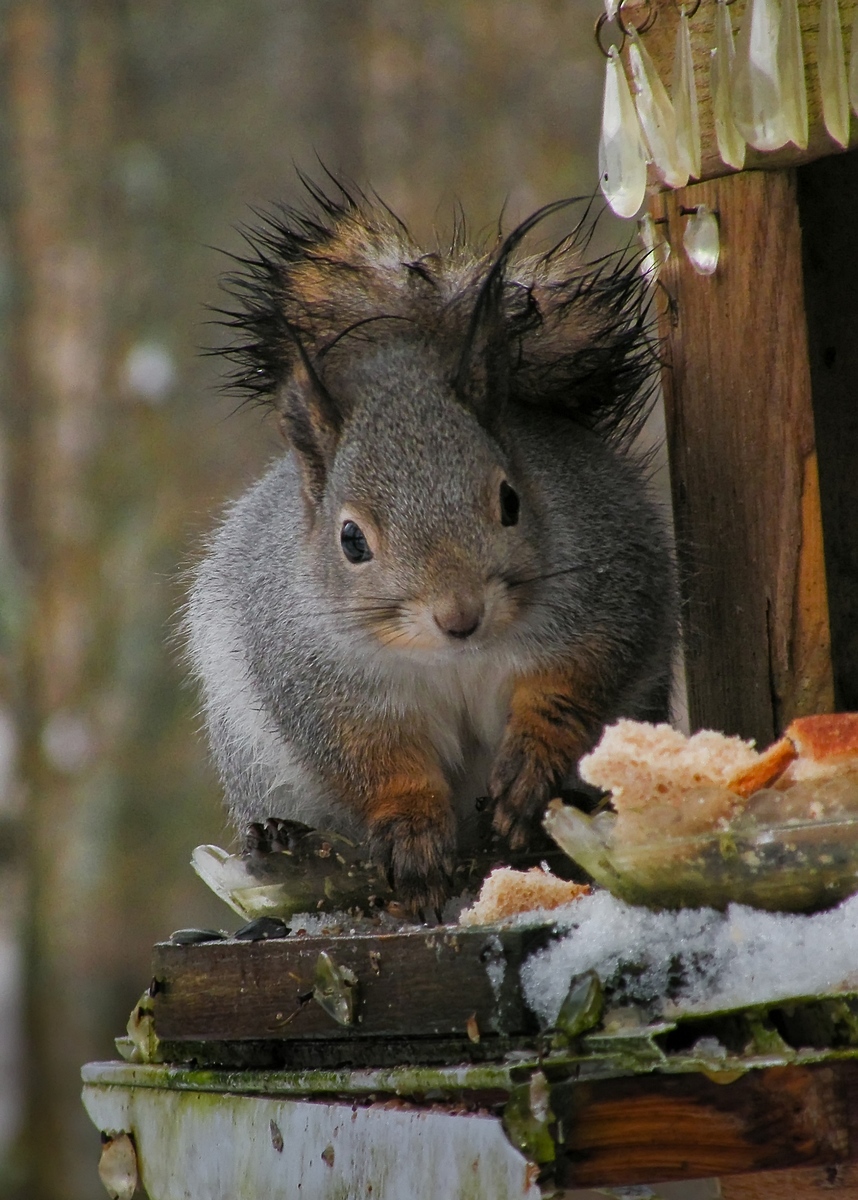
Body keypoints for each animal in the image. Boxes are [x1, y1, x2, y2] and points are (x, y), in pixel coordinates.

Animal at [188, 180, 676, 907]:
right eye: (350, 540)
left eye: (511, 500)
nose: (460, 616)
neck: (455, 659)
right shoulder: (326, 683)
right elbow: (377, 761)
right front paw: (413, 829)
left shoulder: (603, 590)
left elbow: (573, 684)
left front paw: (532, 763)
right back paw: (282, 840)